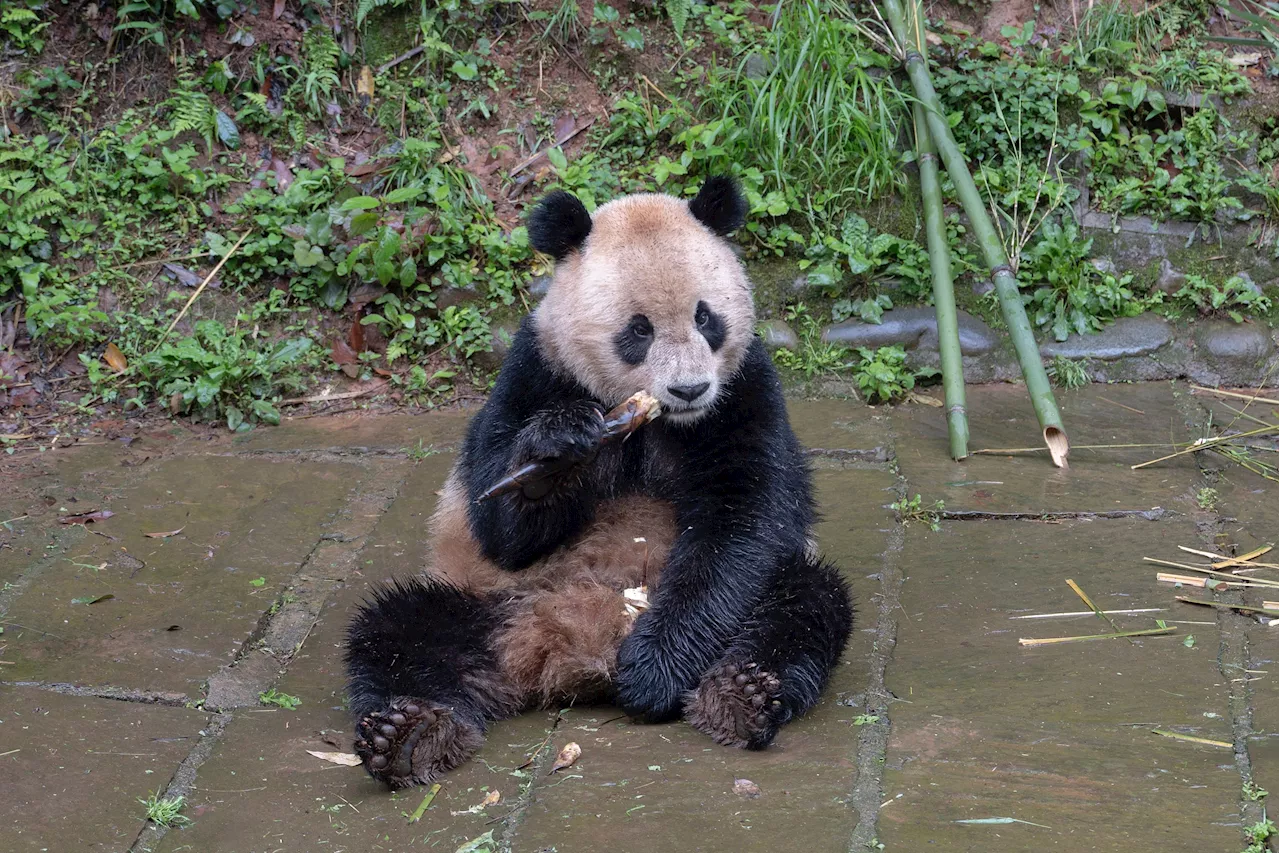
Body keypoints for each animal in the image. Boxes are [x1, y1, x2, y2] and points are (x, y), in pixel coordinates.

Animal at [345, 175, 855, 788]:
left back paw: (741, 696)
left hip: (766, 596)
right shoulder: (536, 371)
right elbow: (496, 521)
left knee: (804, 605)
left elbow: (743, 522)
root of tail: (568, 649)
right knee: (399, 632)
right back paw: (412, 735)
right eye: (638, 330)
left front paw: (655, 672)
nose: (689, 389)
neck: (650, 419)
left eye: (706, 318)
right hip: (487, 601)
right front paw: (555, 456)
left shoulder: (743, 391)